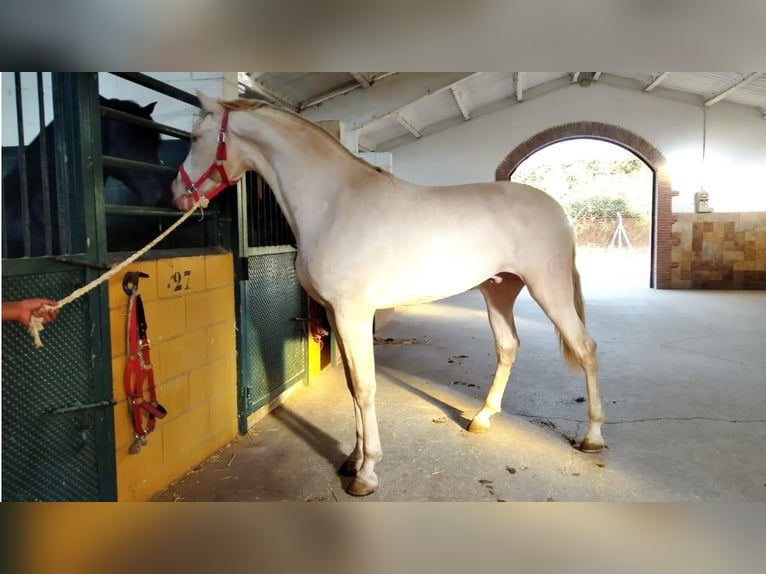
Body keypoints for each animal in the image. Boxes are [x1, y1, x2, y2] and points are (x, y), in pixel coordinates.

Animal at [172, 92, 608, 498]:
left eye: (194, 137)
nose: (177, 194)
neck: (334, 204)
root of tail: (557, 210)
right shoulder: (335, 314)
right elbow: (352, 385)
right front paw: (352, 458)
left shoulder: (354, 314)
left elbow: (365, 387)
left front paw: (367, 473)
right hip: (498, 290)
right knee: (508, 346)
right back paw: (482, 418)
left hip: (548, 289)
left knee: (585, 348)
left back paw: (593, 438)